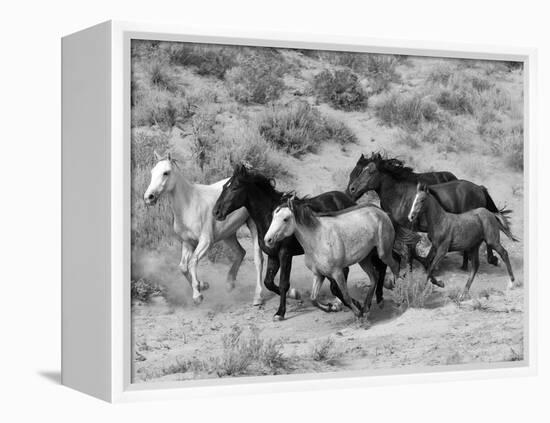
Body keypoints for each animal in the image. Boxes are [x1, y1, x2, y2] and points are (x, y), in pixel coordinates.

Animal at [144, 154, 266, 306]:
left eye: (166, 172)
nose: (148, 197)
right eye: (152, 172)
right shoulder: (187, 242)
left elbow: (193, 262)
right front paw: (203, 286)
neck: (189, 205)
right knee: (240, 252)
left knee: (258, 259)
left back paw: (258, 297)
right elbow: (183, 267)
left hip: (253, 226)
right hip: (228, 233)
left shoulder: (206, 241)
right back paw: (229, 283)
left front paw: (198, 295)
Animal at [213, 166, 390, 322]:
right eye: (224, 186)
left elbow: (283, 283)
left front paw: (280, 312)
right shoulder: (273, 256)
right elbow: (269, 282)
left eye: (235, 187)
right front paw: (296, 295)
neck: (269, 218)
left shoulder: (285, 254)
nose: (216, 212)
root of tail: (347, 199)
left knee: (376, 266)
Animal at [348, 154, 512, 276]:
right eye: (359, 170)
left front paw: (413, 270)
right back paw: (466, 265)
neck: (399, 196)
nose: (351, 189)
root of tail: (479, 188)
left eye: (370, 171)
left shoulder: (408, 228)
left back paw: (488, 260)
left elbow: (410, 251)